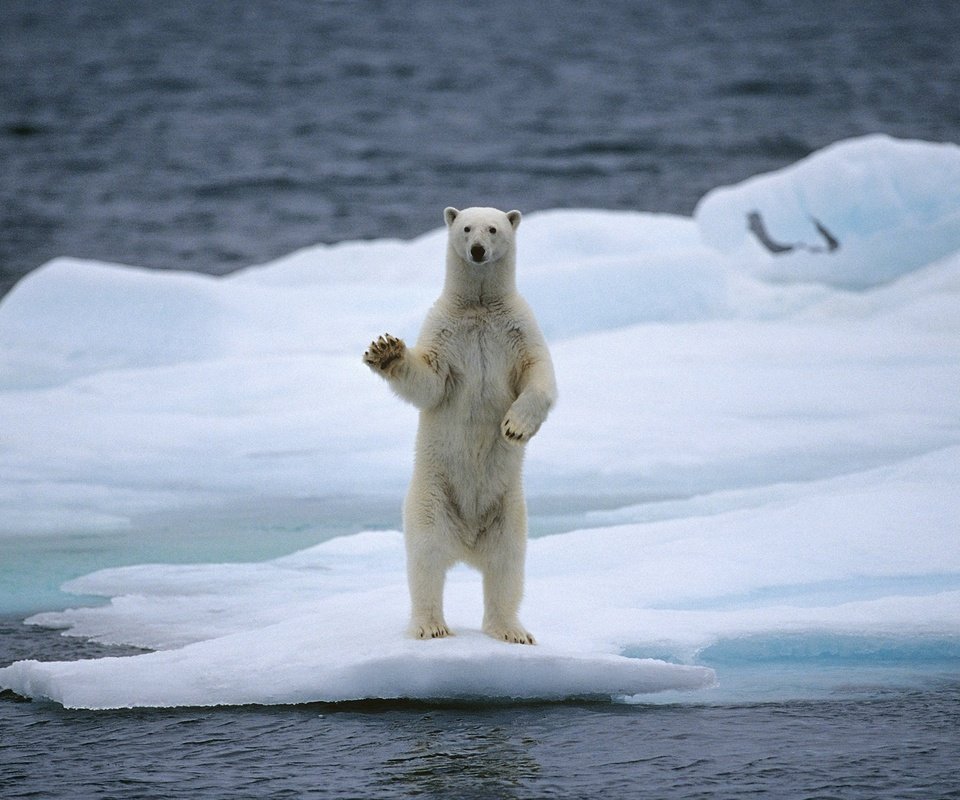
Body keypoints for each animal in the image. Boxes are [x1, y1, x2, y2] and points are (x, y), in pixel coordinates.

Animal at [362, 205, 560, 644]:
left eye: (494, 228)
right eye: (466, 227)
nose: (478, 250)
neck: (481, 307)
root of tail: (467, 543)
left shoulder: (519, 329)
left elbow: (539, 377)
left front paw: (514, 427)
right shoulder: (445, 332)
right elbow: (429, 382)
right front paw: (385, 350)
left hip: (509, 510)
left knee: (507, 566)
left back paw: (511, 630)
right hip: (432, 497)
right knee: (426, 559)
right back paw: (431, 625)